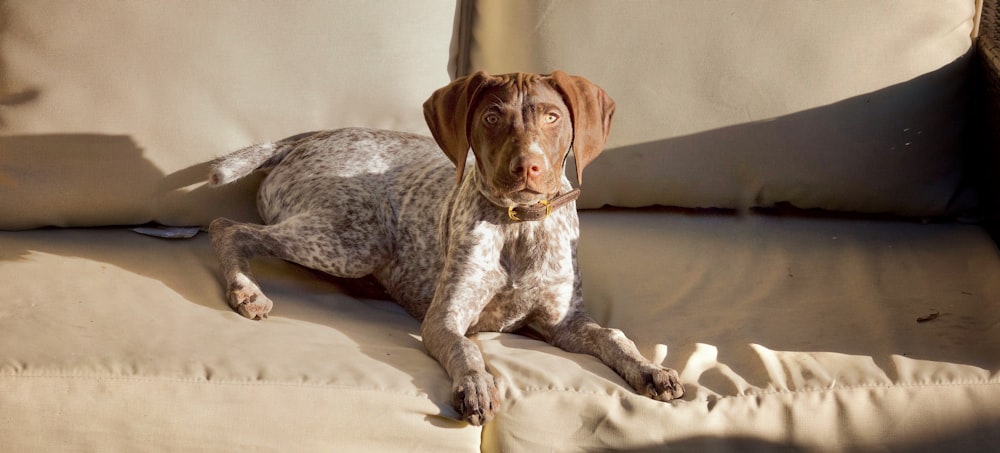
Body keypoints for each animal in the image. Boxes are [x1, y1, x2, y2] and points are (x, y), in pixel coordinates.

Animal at [207, 70, 684, 424]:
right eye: (492, 118)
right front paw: (475, 384)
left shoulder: (564, 323)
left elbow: (614, 337)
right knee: (226, 226)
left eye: (552, 117)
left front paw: (651, 370)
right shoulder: (445, 318)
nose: (527, 167)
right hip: (357, 240)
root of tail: (303, 140)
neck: (520, 226)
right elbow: (466, 349)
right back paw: (246, 290)